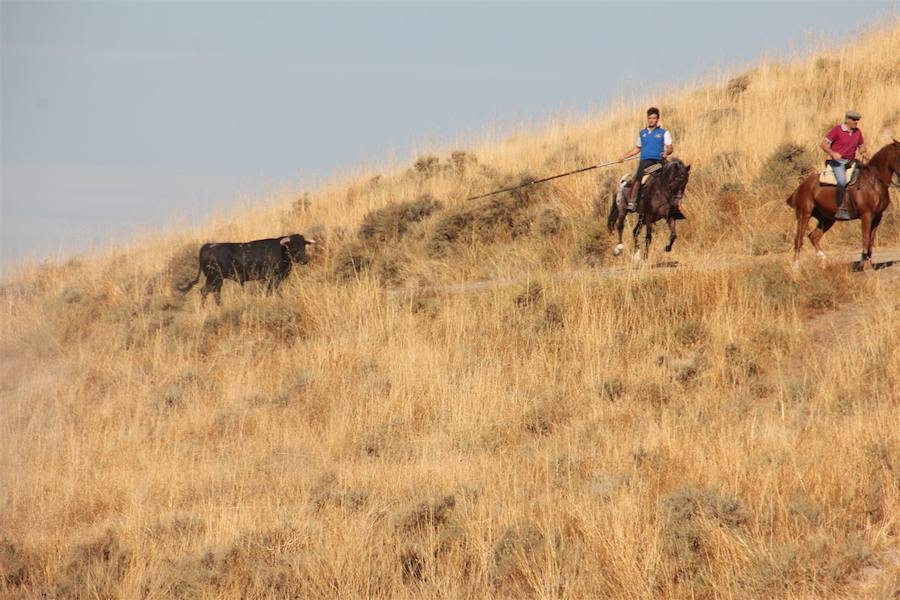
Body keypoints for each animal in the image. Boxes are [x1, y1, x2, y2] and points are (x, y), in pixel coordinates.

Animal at [178, 234, 314, 304]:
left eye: (304, 245)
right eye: (293, 246)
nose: (305, 260)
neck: (281, 251)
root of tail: (209, 246)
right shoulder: (272, 277)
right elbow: (273, 290)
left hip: (217, 280)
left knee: (216, 293)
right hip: (214, 277)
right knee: (204, 291)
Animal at [788, 138, 900, 270]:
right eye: (898, 156)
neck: (874, 182)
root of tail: (801, 186)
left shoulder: (877, 217)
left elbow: (871, 241)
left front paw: (868, 263)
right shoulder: (866, 216)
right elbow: (866, 239)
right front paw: (865, 266)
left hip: (827, 219)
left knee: (813, 236)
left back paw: (823, 262)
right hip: (804, 214)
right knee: (799, 239)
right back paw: (796, 267)